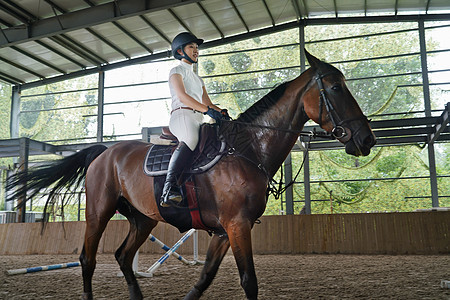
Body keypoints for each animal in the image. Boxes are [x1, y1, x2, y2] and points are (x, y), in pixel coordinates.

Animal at [6, 50, 376, 298]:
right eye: (336, 88)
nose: (366, 140)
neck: (248, 148)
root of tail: (105, 152)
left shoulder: (225, 231)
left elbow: (205, 278)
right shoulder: (237, 225)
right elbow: (249, 281)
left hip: (143, 218)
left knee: (123, 257)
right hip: (99, 211)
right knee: (88, 258)